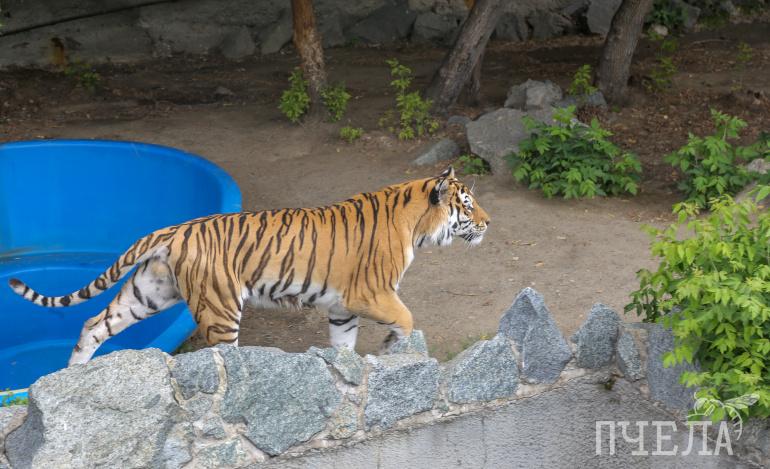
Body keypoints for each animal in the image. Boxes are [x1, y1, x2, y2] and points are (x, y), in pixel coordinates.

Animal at [8, 166, 490, 366]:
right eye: (467, 204)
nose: (488, 222)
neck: (415, 225)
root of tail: (171, 230)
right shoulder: (371, 293)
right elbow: (407, 319)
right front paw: (393, 347)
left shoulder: (342, 307)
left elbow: (344, 345)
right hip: (219, 309)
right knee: (222, 355)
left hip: (148, 293)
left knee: (93, 323)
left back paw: (72, 373)